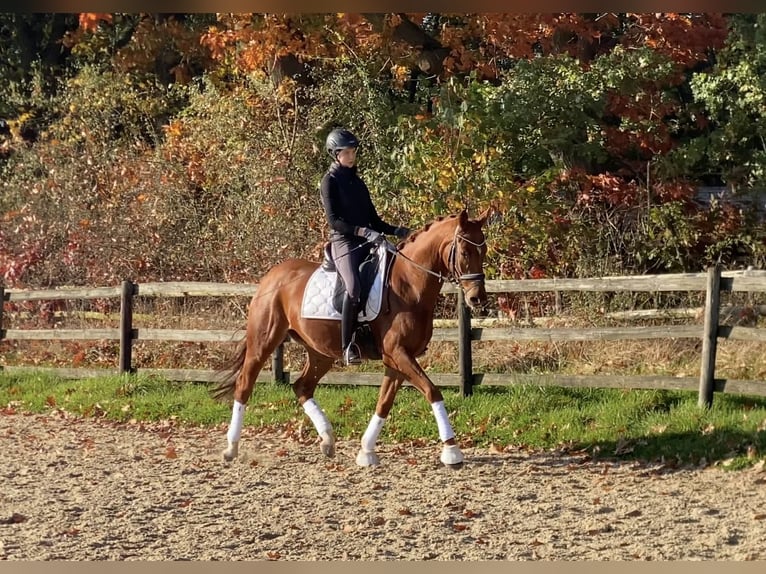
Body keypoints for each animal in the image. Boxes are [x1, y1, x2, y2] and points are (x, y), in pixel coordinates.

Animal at [216, 209, 492, 470]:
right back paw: (231, 448)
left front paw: (366, 452)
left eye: (484, 250)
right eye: (465, 251)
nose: (477, 298)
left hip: (320, 353)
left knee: (303, 387)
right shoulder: (398, 353)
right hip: (263, 343)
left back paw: (327, 441)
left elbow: (384, 402)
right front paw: (452, 451)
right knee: (244, 385)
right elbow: (432, 391)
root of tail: (272, 275)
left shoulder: (397, 360)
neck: (409, 285)